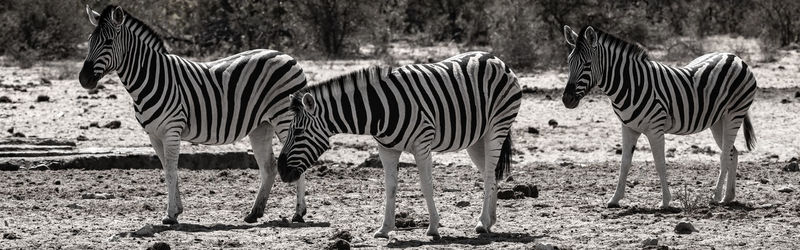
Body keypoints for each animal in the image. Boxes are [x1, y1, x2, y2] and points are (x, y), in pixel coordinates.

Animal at [77, 5, 310, 225]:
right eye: (89, 41)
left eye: (108, 42)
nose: (83, 79)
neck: (151, 77)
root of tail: (287, 55)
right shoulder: (154, 135)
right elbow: (167, 169)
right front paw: (177, 210)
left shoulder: (171, 130)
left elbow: (171, 171)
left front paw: (170, 215)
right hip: (261, 126)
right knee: (269, 167)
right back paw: (254, 213)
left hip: (284, 118)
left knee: (296, 158)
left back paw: (298, 213)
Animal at [278, 51, 520, 238]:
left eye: (298, 132)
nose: (281, 171)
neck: (379, 109)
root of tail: (494, 57)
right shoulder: (387, 149)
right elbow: (390, 187)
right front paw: (385, 228)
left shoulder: (422, 145)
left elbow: (426, 185)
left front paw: (433, 228)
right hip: (476, 139)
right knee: (491, 174)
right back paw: (489, 221)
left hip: (497, 127)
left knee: (488, 174)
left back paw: (481, 223)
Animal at [564, 25, 756, 209]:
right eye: (568, 62)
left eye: (587, 64)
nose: (566, 99)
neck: (631, 84)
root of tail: (734, 56)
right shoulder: (628, 127)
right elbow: (624, 163)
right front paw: (615, 199)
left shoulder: (655, 129)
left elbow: (660, 163)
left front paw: (665, 202)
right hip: (717, 120)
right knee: (732, 152)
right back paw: (728, 197)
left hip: (734, 113)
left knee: (724, 156)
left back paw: (716, 197)